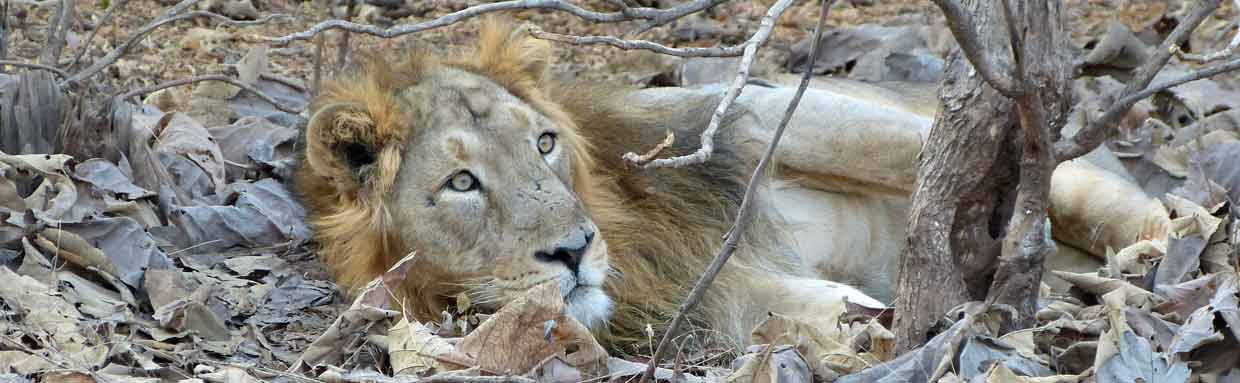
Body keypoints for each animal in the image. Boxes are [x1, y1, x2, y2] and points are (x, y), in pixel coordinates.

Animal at [295, 17, 1165, 352]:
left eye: (544, 142)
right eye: (462, 182)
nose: (575, 249)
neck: (630, 232)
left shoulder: (738, 108)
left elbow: (907, 154)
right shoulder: (703, 297)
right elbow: (807, 306)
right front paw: (886, 328)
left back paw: (1156, 242)